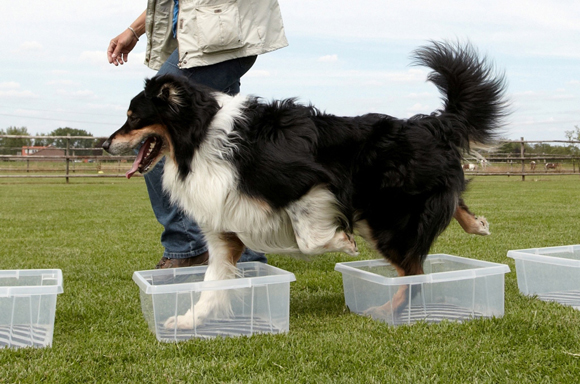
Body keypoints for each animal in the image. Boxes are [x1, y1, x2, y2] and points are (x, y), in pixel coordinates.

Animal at [104, 39, 508, 328]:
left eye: (132, 117)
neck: (202, 137)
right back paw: (477, 224)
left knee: (415, 277)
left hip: (384, 221)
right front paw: (188, 321)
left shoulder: (310, 182)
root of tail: (430, 123)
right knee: (440, 225)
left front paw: (341, 243)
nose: (107, 144)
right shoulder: (223, 230)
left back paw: (384, 310)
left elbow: (308, 236)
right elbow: (212, 284)